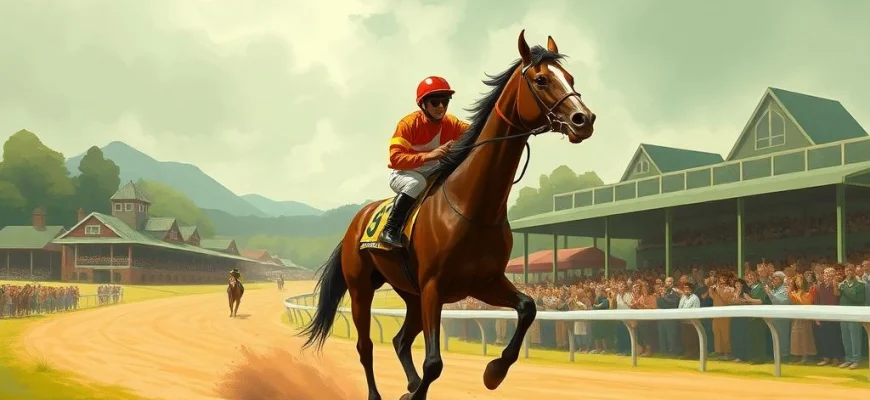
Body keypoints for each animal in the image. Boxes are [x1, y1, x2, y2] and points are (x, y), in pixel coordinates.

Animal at [299, 30, 595, 400]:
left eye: (570, 78)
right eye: (541, 80)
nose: (584, 120)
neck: (474, 208)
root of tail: (356, 222)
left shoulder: (483, 282)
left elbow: (528, 307)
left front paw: (494, 371)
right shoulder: (434, 287)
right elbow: (434, 363)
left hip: (409, 294)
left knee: (399, 340)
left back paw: (409, 384)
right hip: (361, 288)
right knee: (365, 346)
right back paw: (377, 393)